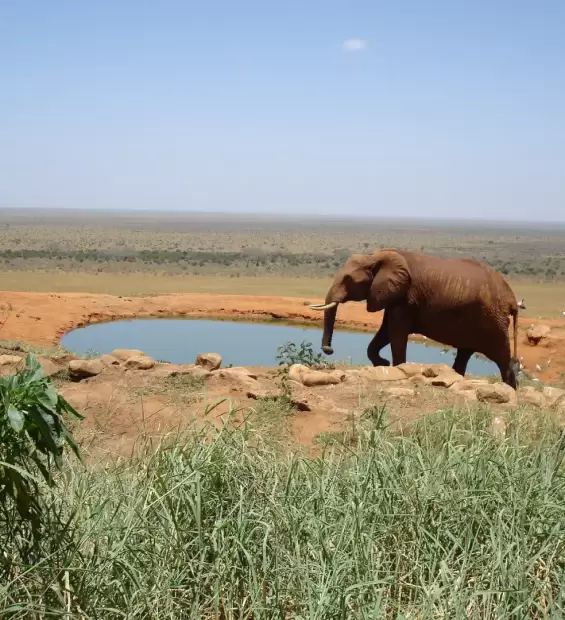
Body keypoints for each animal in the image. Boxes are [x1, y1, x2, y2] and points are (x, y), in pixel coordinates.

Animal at [308, 248, 520, 388]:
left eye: (348, 279)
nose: (329, 350)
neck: (377, 257)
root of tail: (512, 298)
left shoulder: (406, 298)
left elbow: (396, 334)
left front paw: (394, 368)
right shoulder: (393, 296)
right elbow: (384, 333)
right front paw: (383, 364)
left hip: (493, 320)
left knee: (501, 356)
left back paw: (510, 387)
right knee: (464, 353)